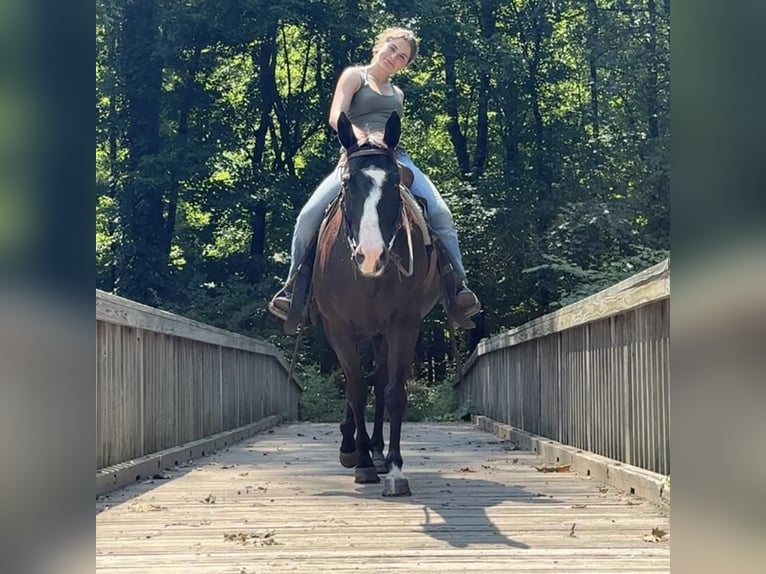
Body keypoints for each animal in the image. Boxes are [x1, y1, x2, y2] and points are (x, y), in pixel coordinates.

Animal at [314, 111, 444, 496]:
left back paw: (375, 449)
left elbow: (393, 391)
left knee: (381, 380)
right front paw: (362, 464)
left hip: (381, 334)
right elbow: (356, 389)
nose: (371, 255)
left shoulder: (403, 325)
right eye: (348, 184)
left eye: (394, 183)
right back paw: (354, 448)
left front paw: (395, 468)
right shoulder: (338, 328)